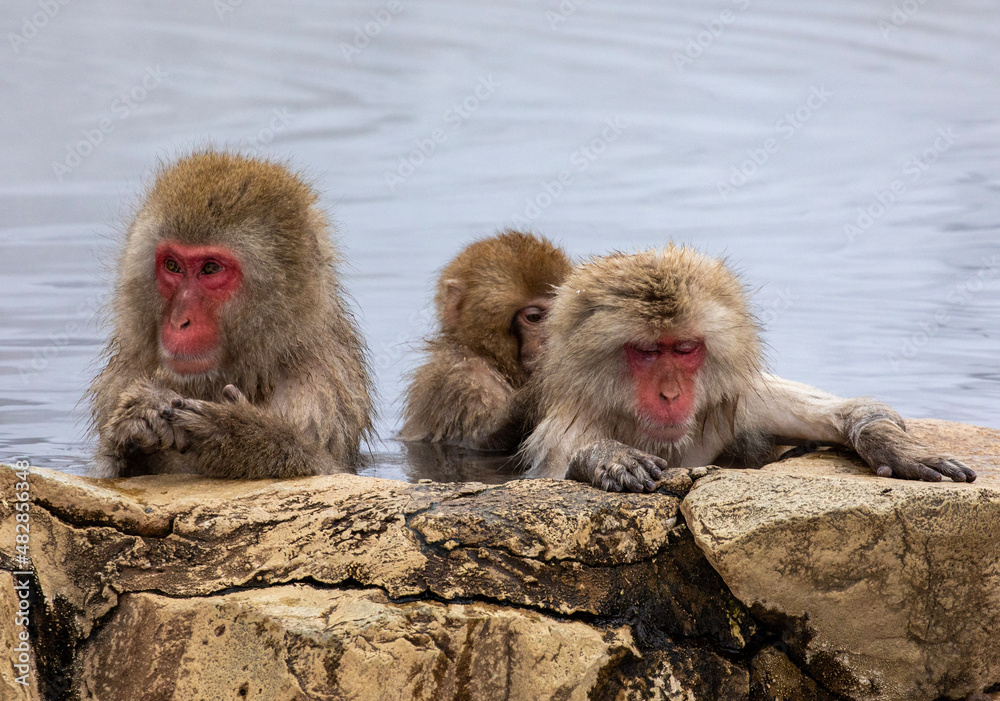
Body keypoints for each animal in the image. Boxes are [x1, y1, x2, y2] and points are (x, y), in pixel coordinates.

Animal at [88, 151, 373, 479]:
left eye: (211, 268)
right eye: (173, 265)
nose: (179, 321)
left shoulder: (320, 393)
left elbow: (330, 471)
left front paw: (237, 434)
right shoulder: (121, 380)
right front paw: (139, 421)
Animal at [523, 245, 977, 492]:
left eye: (684, 349)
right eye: (648, 352)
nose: (670, 394)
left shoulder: (735, 400)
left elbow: (838, 412)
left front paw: (890, 443)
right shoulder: (568, 428)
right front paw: (606, 456)